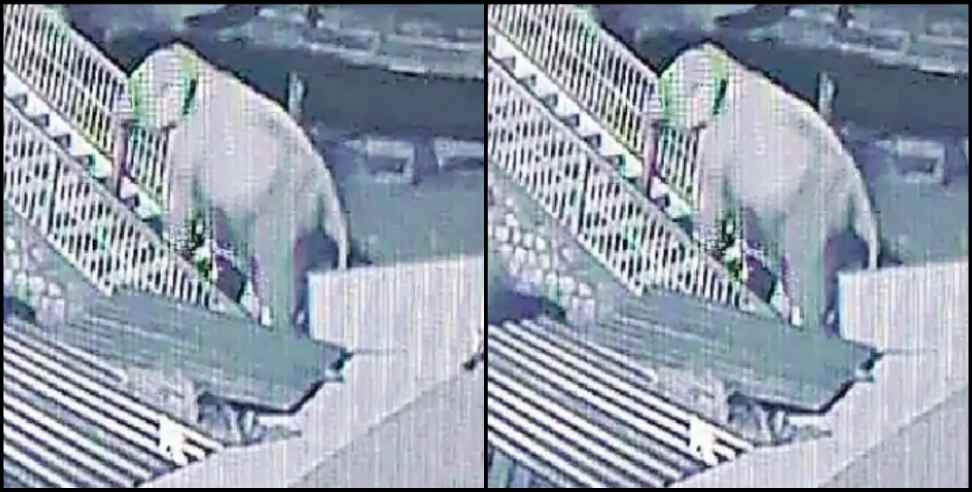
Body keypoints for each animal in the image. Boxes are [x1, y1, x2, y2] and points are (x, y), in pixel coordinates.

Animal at [127, 43, 352, 334]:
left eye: (137, 85)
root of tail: (330, 195)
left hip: (284, 213)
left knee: (274, 275)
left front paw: (175, 247)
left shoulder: (192, 139)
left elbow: (183, 194)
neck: (199, 66)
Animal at [644, 44, 880, 332]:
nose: (647, 188)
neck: (729, 66)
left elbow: (713, 195)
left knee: (803, 274)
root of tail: (860, 195)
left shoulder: (721, 139)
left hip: (814, 212)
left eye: (668, 84)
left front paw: (706, 247)